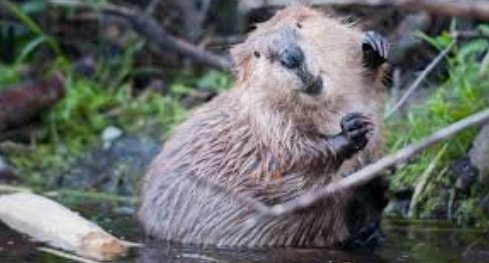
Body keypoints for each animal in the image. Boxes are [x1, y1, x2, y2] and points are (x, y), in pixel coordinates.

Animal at [137, 6, 388, 250]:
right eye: (258, 54)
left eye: (299, 24)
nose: (291, 56)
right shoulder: (266, 124)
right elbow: (292, 162)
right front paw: (350, 130)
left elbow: (366, 87)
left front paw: (373, 47)